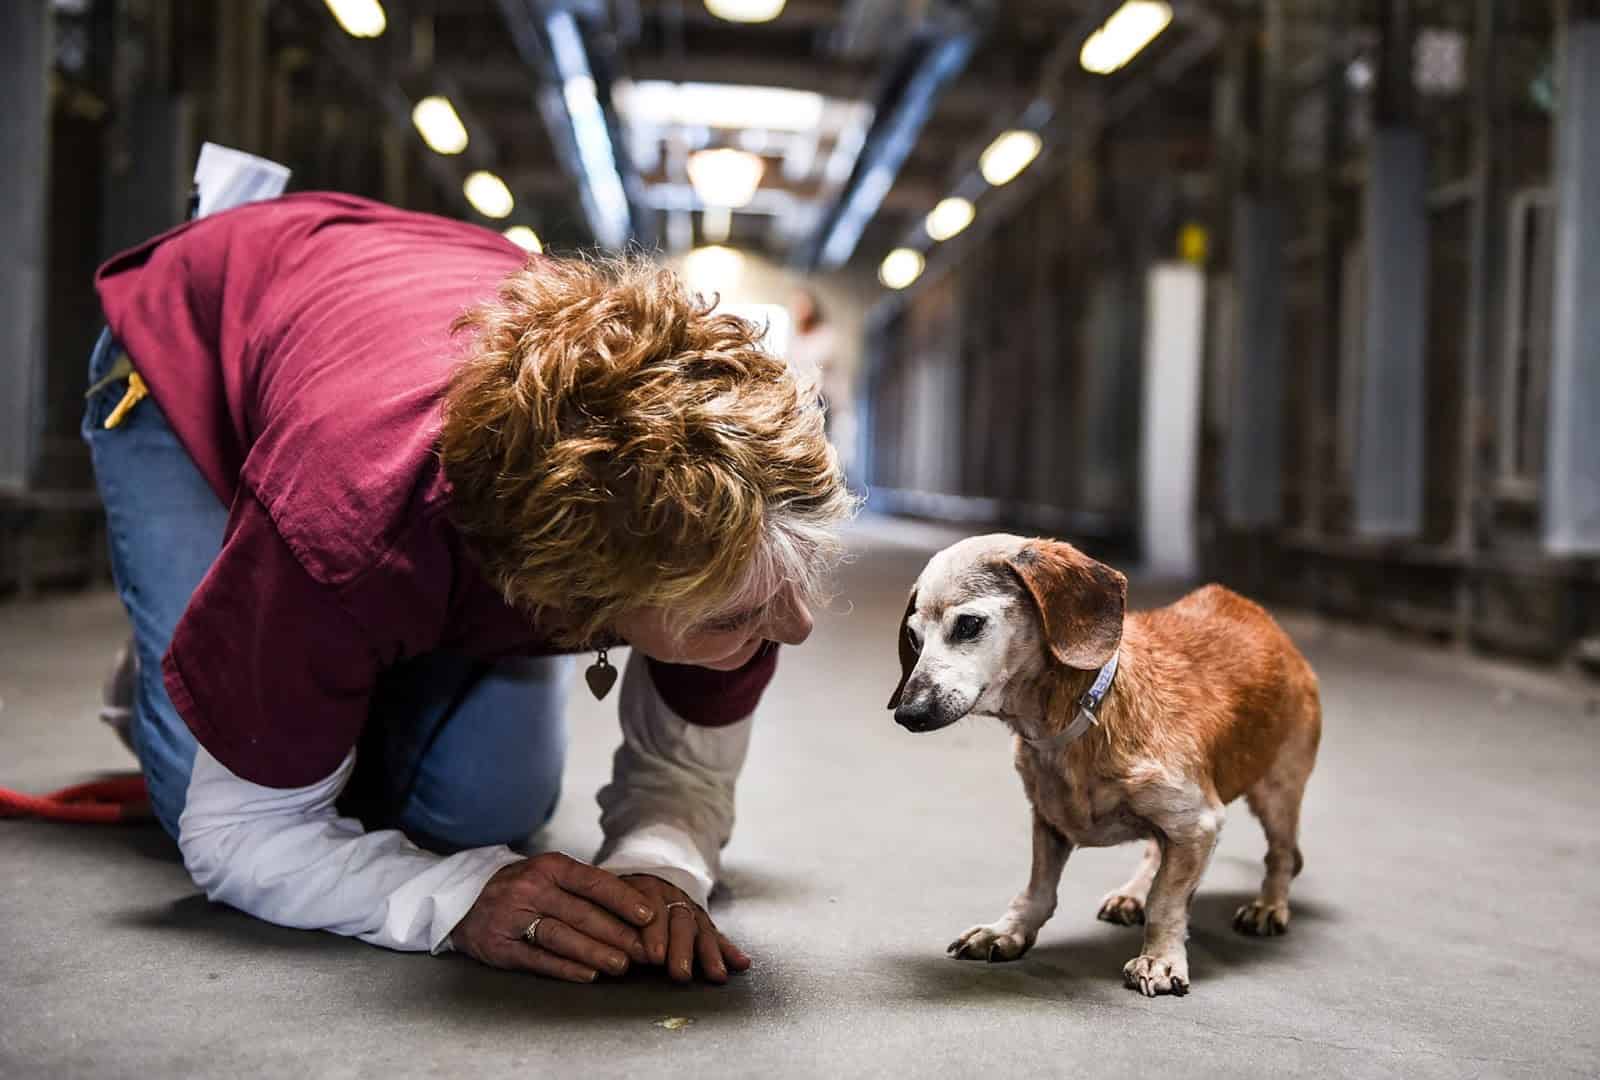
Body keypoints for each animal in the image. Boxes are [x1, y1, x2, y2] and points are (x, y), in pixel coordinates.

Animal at [889, 534, 1324, 998]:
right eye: (913, 638)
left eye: (968, 625)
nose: (907, 713)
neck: (1077, 721)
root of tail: (1266, 621)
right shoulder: (1050, 822)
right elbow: (1038, 890)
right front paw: (1007, 931)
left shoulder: (1198, 823)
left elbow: (1167, 901)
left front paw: (1160, 959)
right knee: (1155, 851)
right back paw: (1131, 894)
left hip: (1277, 793)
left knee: (1282, 854)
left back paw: (1268, 906)